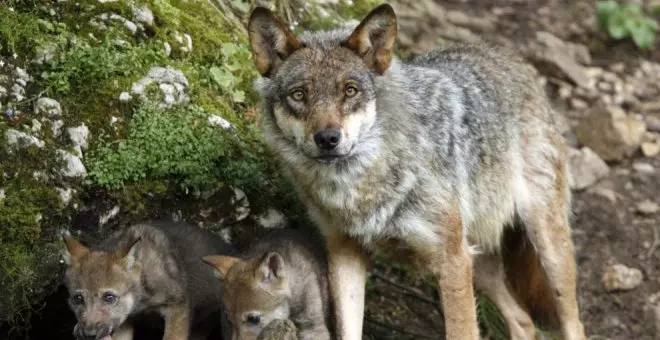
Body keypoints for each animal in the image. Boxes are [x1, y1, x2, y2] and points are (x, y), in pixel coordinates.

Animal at [62, 220, 236, 340]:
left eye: (109, 298)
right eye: (78, 299)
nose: (88, 334)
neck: (142, 301)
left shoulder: (179, 306)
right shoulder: (124, 321)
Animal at [248, 2, 588, 340]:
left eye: (350, 91)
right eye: (299, 95)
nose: (328, 139)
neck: (358, 187)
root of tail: (511, 58)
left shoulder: (452, 262)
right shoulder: (344, 253)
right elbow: (347, 329)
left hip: (545, 250)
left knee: (574, 322)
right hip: (478, 263)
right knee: (523, 320)